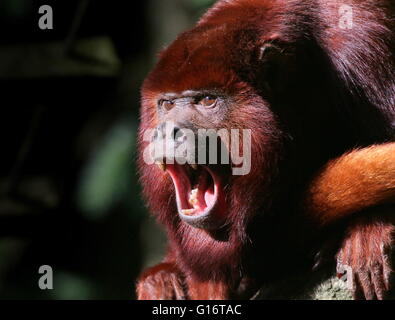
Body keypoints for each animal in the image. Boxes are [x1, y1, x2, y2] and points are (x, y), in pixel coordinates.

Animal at [137, 0, 395, 300]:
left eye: (207, 100)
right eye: (166, 104)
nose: (167, 131)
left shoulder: (363, 50)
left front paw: (369, 228)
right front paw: (164, 276)